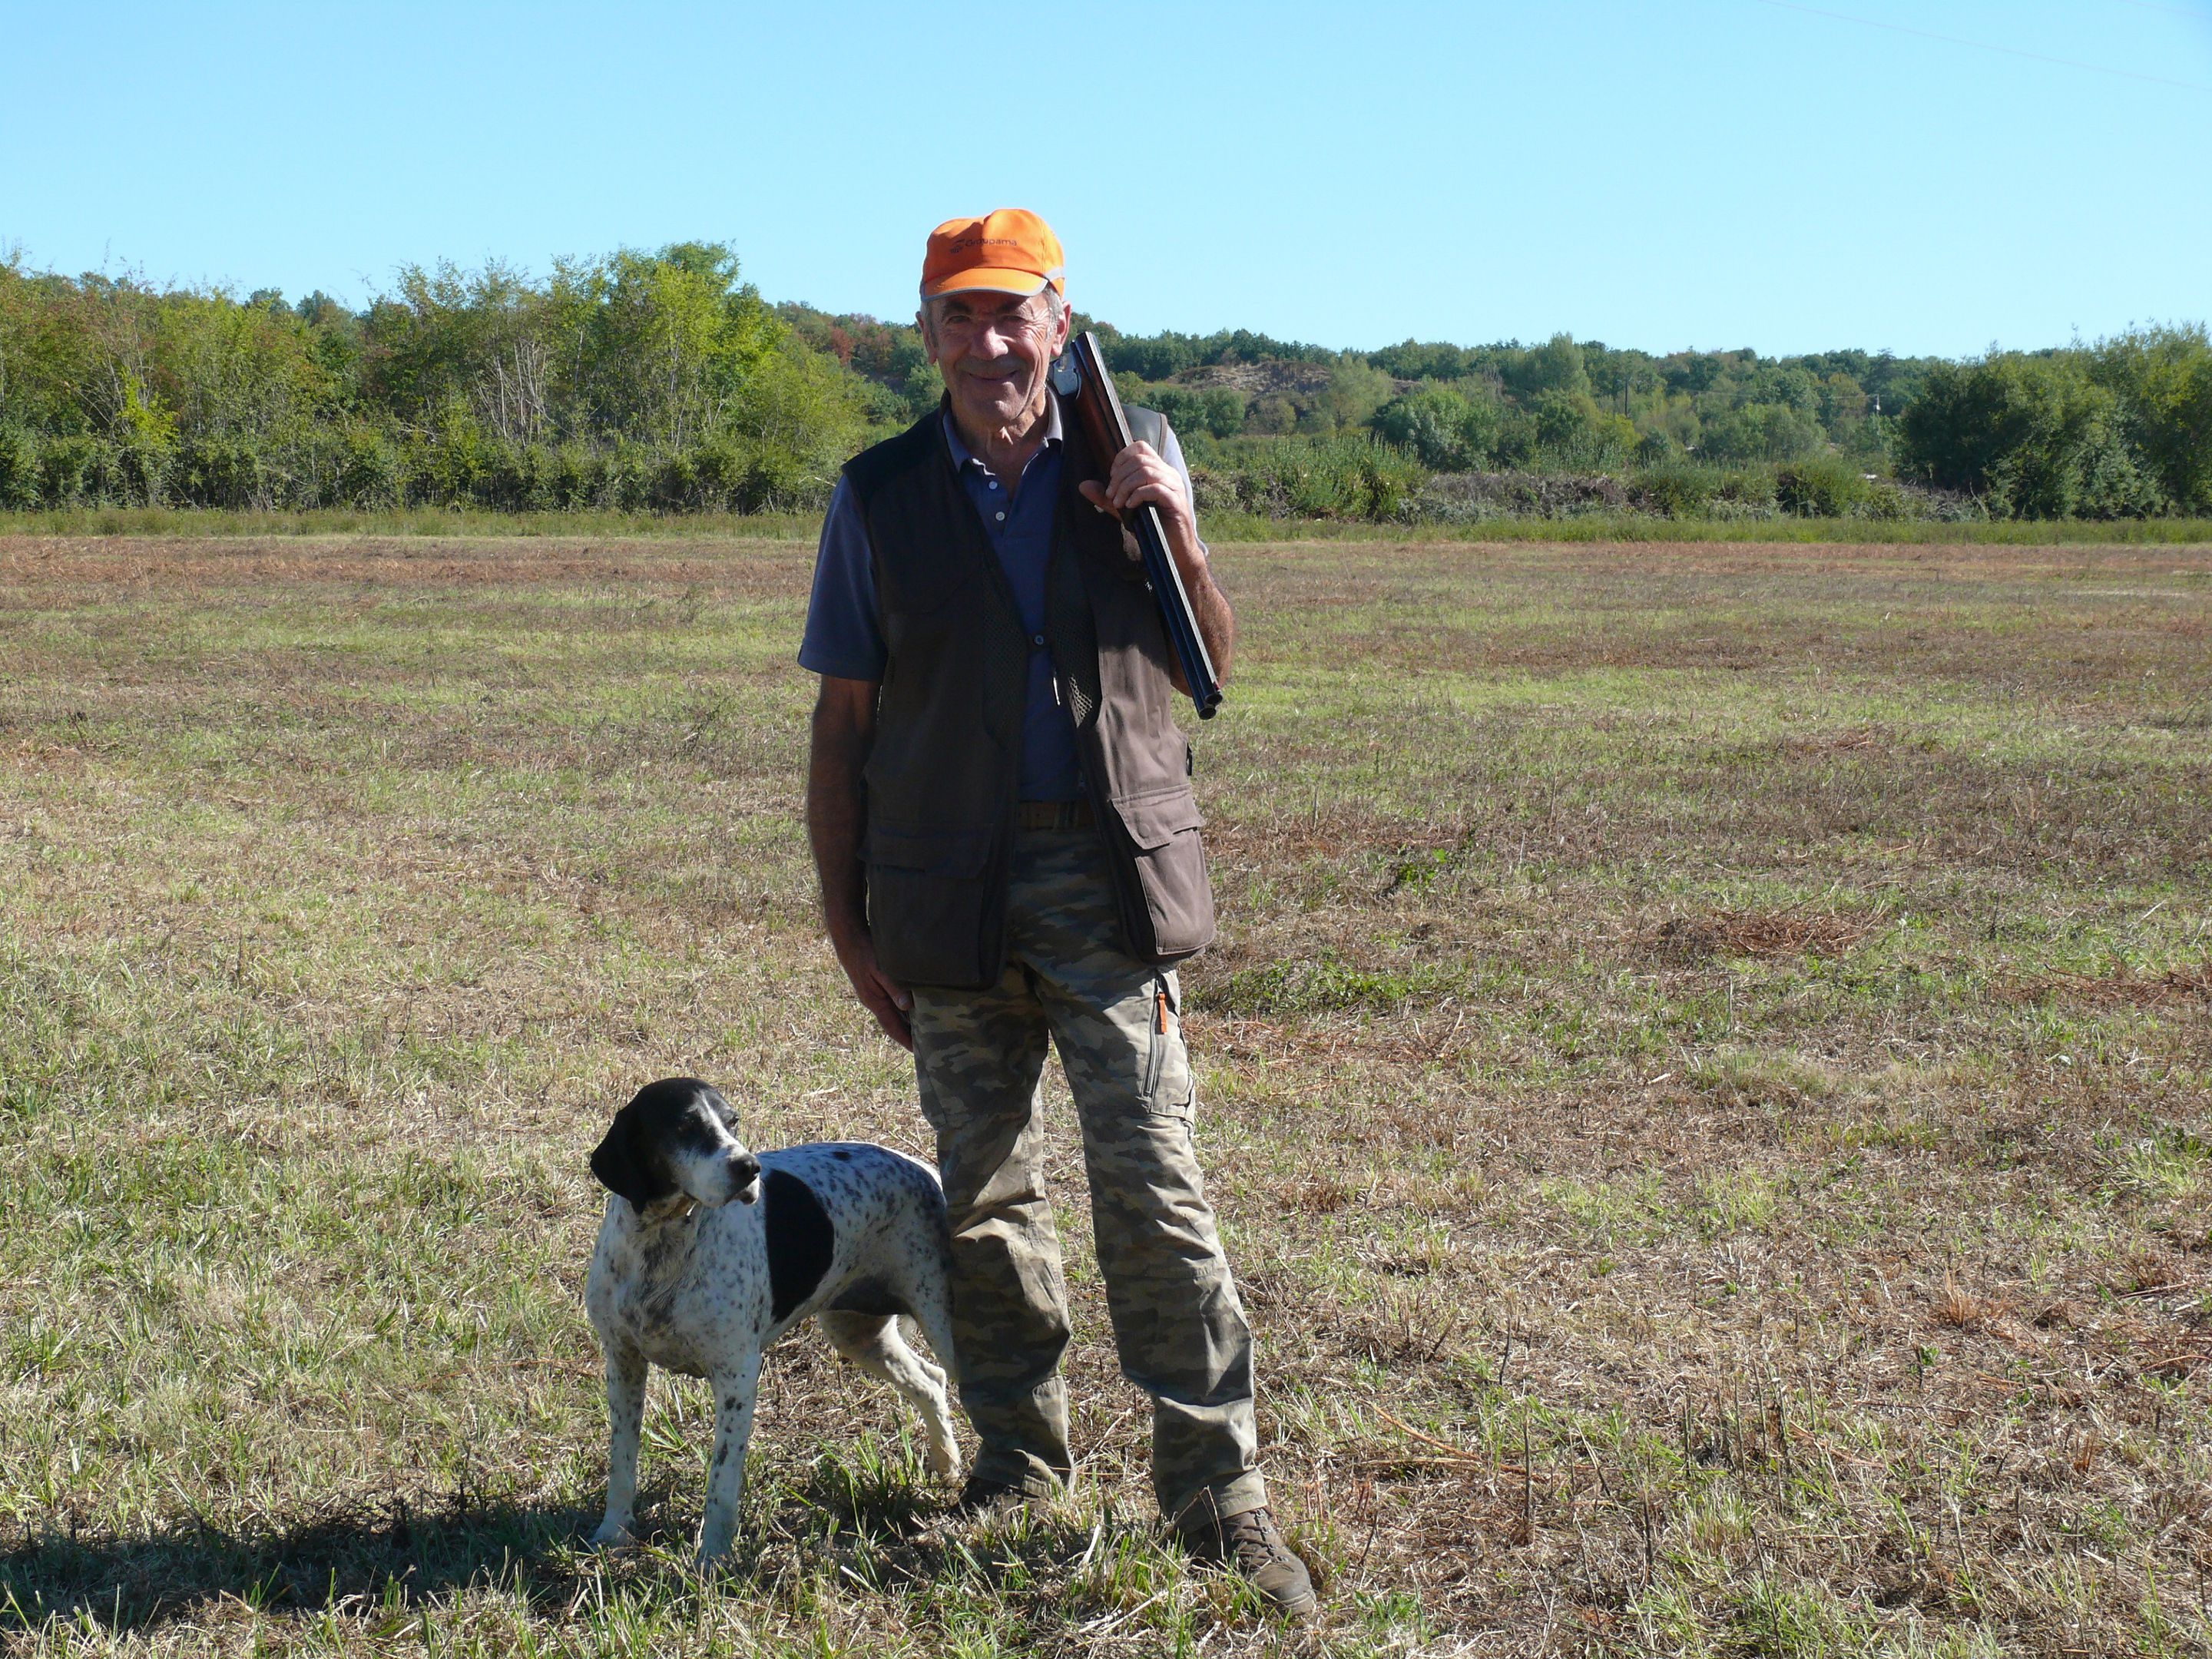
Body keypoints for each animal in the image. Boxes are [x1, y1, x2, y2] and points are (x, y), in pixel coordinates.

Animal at [584, 1084, 964, 1566]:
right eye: (684, 1126)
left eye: (733, 1122)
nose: (749, 1168)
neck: (662, 1244)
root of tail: (925, 1169)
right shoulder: (623, 1362)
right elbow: (622, 1461)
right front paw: (613, 1532)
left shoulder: (737, 1376)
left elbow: (721, 1482)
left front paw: (712, 1558)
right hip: (858, 1334)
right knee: (931, 1381)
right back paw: (947, 1465)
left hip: (945, 1328)